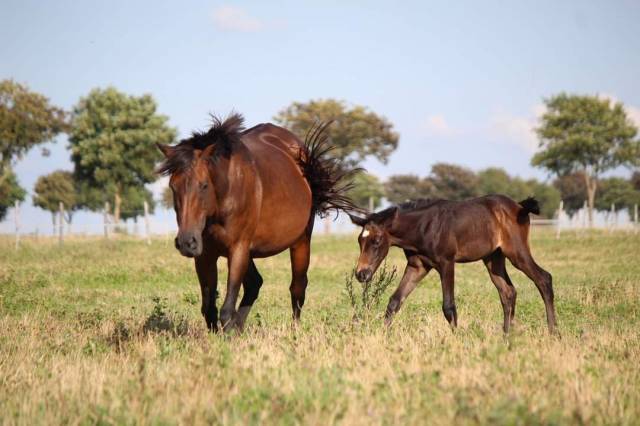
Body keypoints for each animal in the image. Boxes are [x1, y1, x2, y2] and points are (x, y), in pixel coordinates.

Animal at [156, 114, 356, 332]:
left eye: (204, 185)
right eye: (173, 186)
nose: (186, 242)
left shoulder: (238, 249)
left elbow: (226, 310)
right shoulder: (205, 255)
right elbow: (209, 308)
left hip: (300, 241)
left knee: (298, 287)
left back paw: (294, 331)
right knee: (254, 284)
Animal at [350, 195, 556, 334]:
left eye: (376, 241)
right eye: (360, 240)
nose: (361, 274)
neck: (422, 227)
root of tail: (520, 206)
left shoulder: (447, 263)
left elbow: (448, 307)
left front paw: (457, 340)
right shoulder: (418, 266)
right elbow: (394, 301)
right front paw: (382, 337)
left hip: (517, 253)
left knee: (543, 279)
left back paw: (553, 332)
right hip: (493, 258)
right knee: (508, 292)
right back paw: (507, 335)